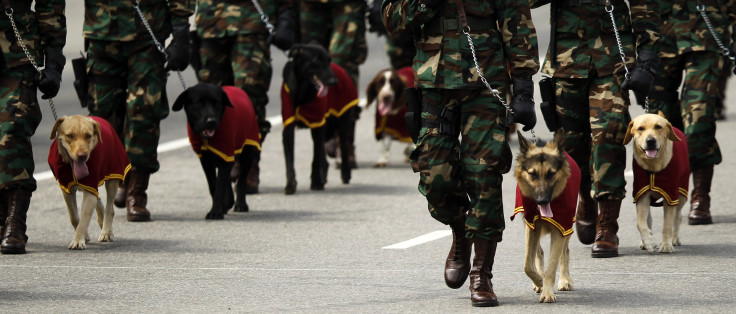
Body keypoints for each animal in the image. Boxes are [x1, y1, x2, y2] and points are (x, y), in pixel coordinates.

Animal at [48, 115, 130, 250]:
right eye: (70, 135)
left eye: (88, 135)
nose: (82, 156)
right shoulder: (66, 189)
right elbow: (74, 217)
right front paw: (84, 236)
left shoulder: (90, 188)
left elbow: (84, 217)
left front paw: (78, 240)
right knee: (99, 202)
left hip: (113, 176)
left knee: (109, 209)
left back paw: (106, 232)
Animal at [173, 83, 262, 221]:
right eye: (199, 103)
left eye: (216, 103)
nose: (211, 121)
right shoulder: (206, 161)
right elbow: (214, 186)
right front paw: (221, 206)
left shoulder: (226, 157)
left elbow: (220, 188)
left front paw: (215, 212)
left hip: (247, 152)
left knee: (241, 179)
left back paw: (240, 204)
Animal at [280, 43, 358, 195]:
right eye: (316, 61)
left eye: (328, 61)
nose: (334, 81)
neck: (302, 92)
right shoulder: (288, 127)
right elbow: (289, 159)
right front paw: (290, 185)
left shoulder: (317, 124)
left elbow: (315, 158)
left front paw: (316, 182)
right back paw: (324, 175)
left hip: (341, 119)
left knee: (343, 146)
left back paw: (345, 173)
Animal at [512, 129, 580, 302]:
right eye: (533, 174)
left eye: (551, 174)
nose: (542, 201)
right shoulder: (532, 226)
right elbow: (527, 265)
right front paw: (539, 281)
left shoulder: (561, 228)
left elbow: (553, 264)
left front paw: (547, 291)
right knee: (539, 253)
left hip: (567, 228)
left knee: (565, 252)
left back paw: (564, 280)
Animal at [620, 114, 688, 254]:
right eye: (640, 128)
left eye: (658, 127)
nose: (650, 140)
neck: (653, 166)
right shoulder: (641, 194)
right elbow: (641, 223)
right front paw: (647, 240)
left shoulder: (670, 196)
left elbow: (667, 225)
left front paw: (666, 245)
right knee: (649, 219)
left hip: (682, 192)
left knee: (677, 217)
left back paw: (675, 238)